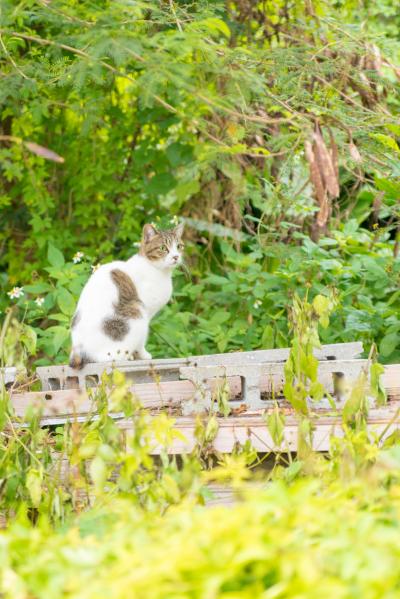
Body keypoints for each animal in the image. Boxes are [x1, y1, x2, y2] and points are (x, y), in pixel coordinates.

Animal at [69, 223, 184, 368]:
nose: (176, 256)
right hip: (136, 311)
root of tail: (79, 352)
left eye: (179, 246)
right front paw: (143, 356)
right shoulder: (145, 314)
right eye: (163, 248)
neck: (159, 271)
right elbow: (141, 343)